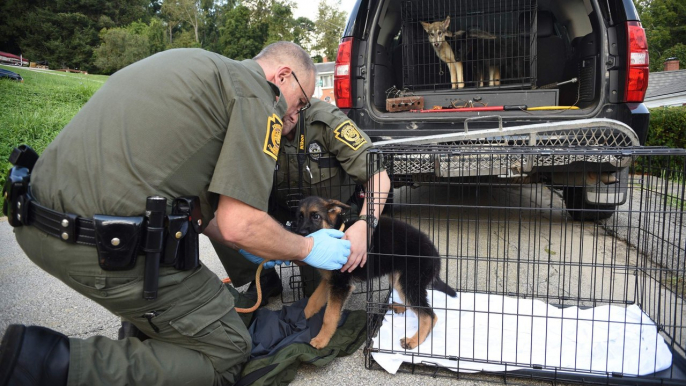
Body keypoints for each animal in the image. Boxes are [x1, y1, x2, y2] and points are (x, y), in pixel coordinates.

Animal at [294, 198, 456, 352]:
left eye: (316, 216)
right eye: (299, 217)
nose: (301, 235)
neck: (336, 234)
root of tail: (436, 256)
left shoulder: (340, 285)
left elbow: (329, 316)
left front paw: (321, 339)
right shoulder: (329, 281)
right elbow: (312, 301)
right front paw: (300, 319)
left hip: (408, 282)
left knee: (429, 316)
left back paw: (414, 341)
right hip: (399, 280)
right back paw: (399, 307)